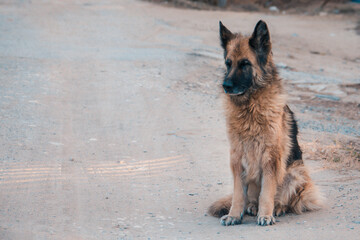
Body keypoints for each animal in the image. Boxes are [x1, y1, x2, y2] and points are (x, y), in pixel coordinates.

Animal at [208, 20, 324, 225]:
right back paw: (252, 207)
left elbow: (267, 191)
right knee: (251, 197)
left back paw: (277, 208)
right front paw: (234, 214)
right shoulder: (237, 157)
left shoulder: (271, 158)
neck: (250, 107)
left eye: (245, 64)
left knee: (287, 199)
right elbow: (238, 194)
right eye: (228, 64)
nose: (226, 86)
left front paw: (266, 214)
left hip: (295, 172)